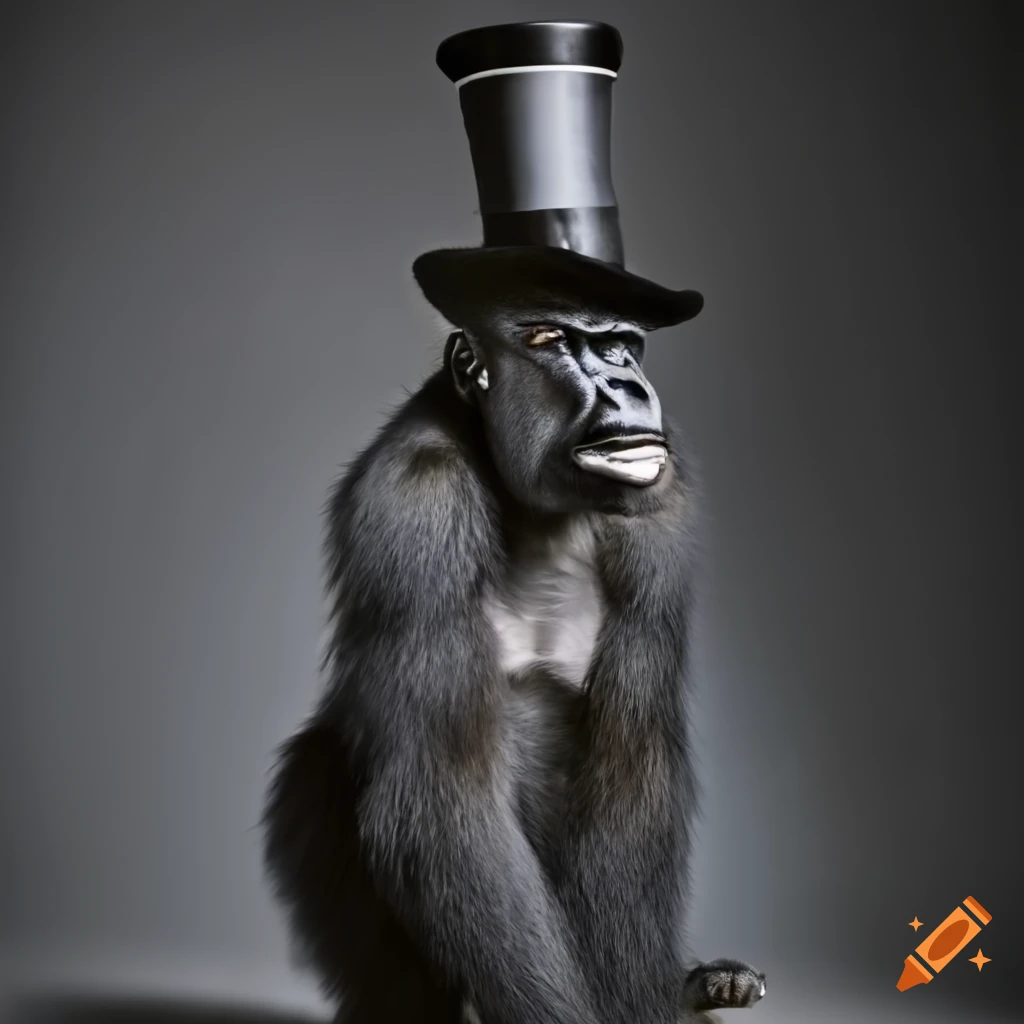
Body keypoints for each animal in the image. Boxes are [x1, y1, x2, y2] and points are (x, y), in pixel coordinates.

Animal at [261, 287, 767, 1024]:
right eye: (551, 339)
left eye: (624, 345)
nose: (626, 384)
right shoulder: (414, 504)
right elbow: (438, 794)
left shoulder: (661, 518)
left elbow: (631, 765)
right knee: (322, 764)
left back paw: (701, 983)